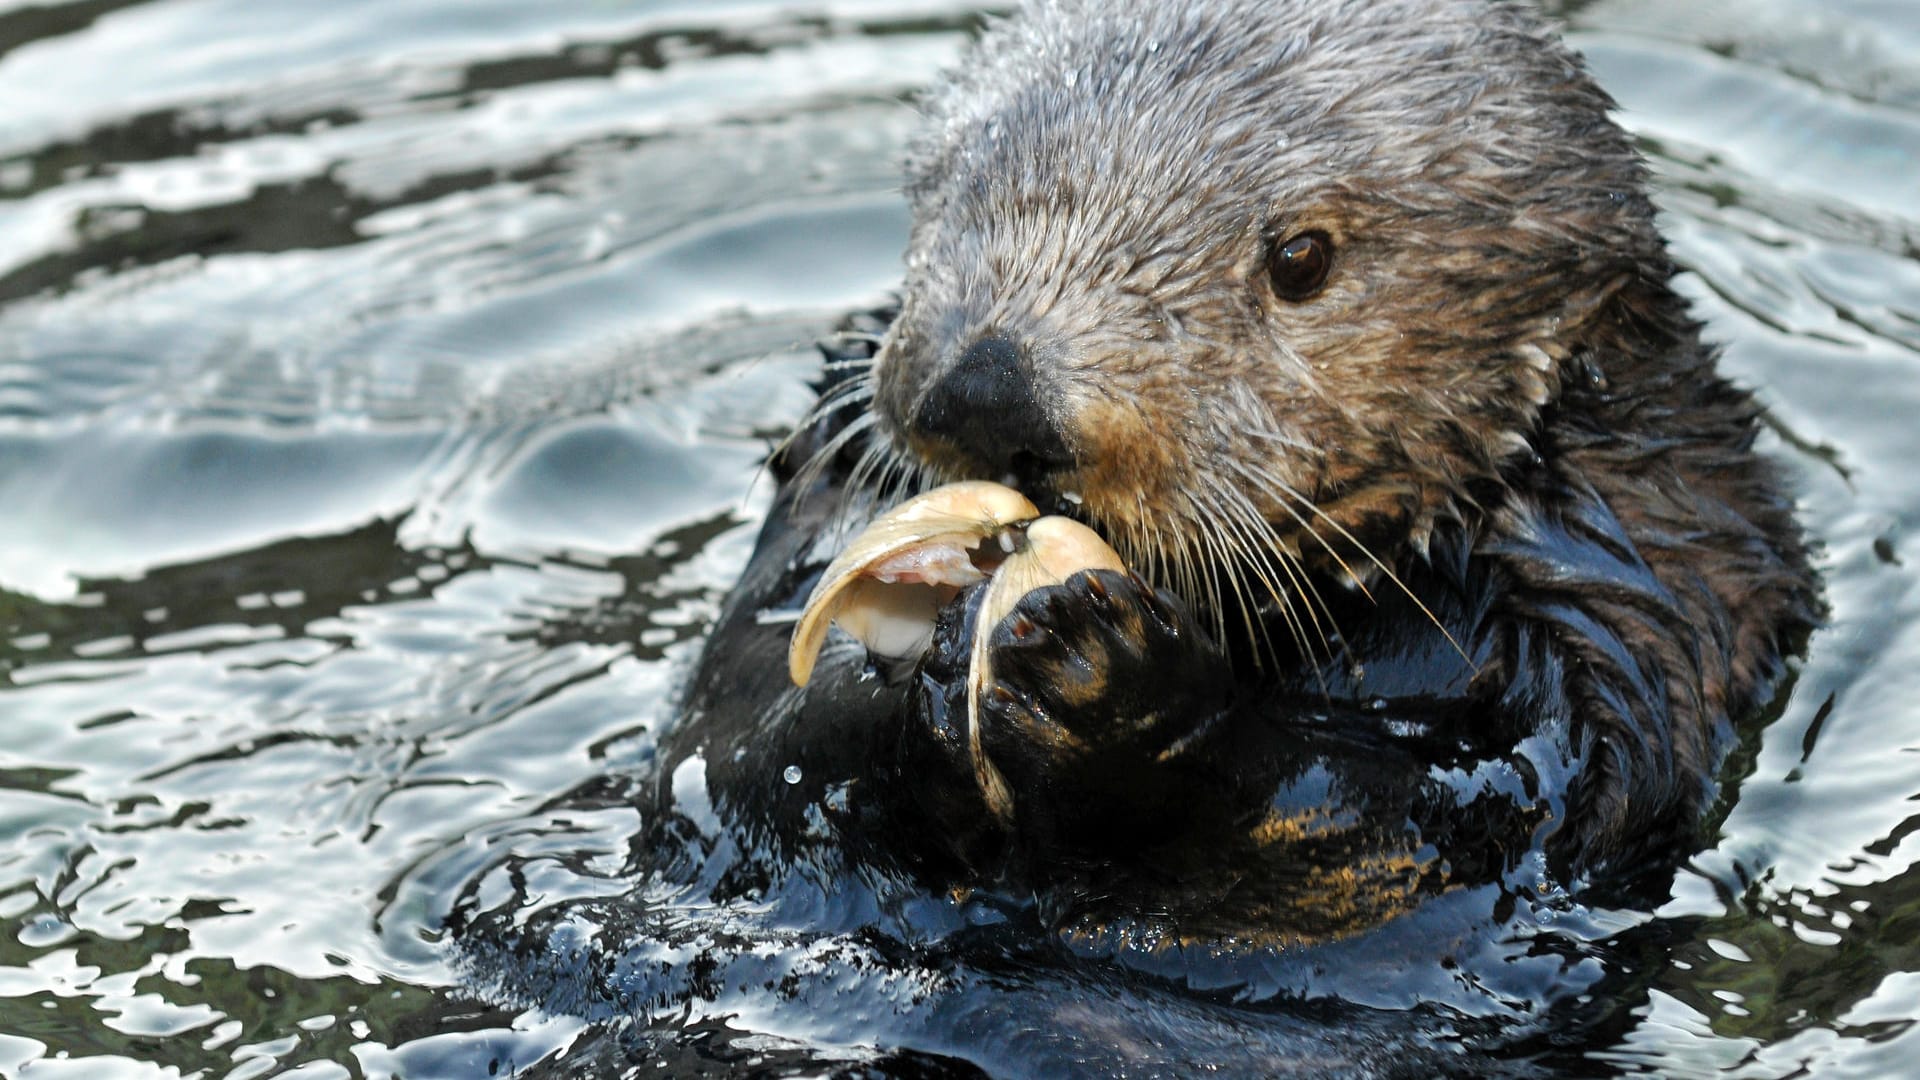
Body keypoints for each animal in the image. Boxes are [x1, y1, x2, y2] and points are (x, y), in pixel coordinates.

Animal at [456, 0, 1820, 1060]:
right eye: (963, 184)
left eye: (1301, 257)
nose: (990, 394)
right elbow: (728, 729)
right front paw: (896, 674)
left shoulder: (1633, 601)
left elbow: (1409, 841)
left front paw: (1106, 681)